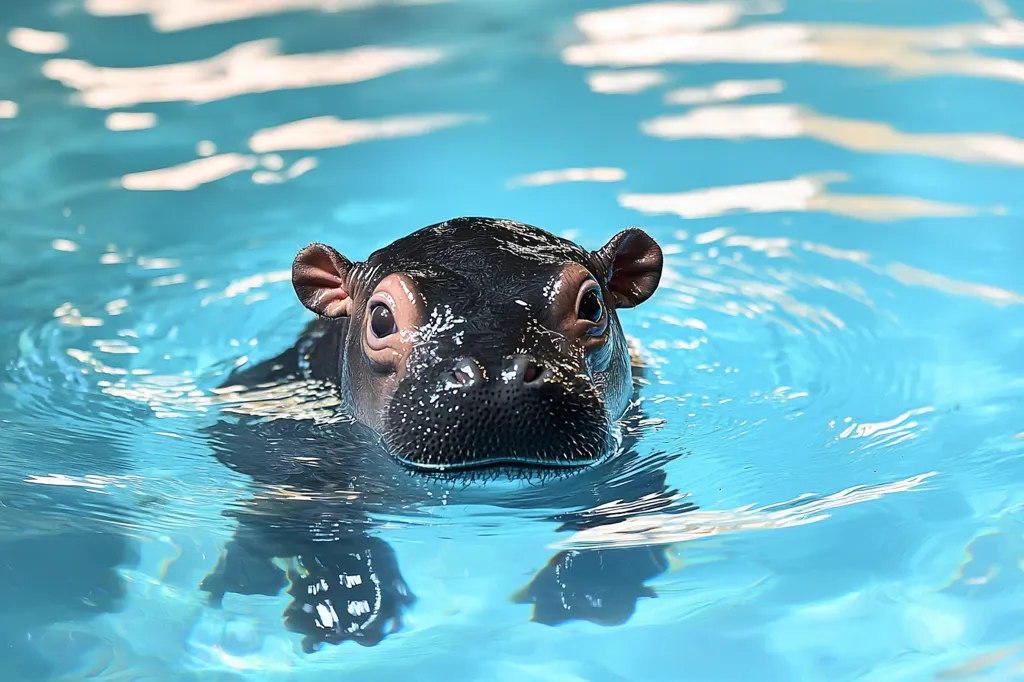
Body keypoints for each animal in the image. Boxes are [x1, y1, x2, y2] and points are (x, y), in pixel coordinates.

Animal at [199, 217, 696, 652]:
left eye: (592, 304)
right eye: (381, 319)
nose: (498, 373)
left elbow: (630, 515)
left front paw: (589, 589)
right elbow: (319, 520)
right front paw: (343, 603)